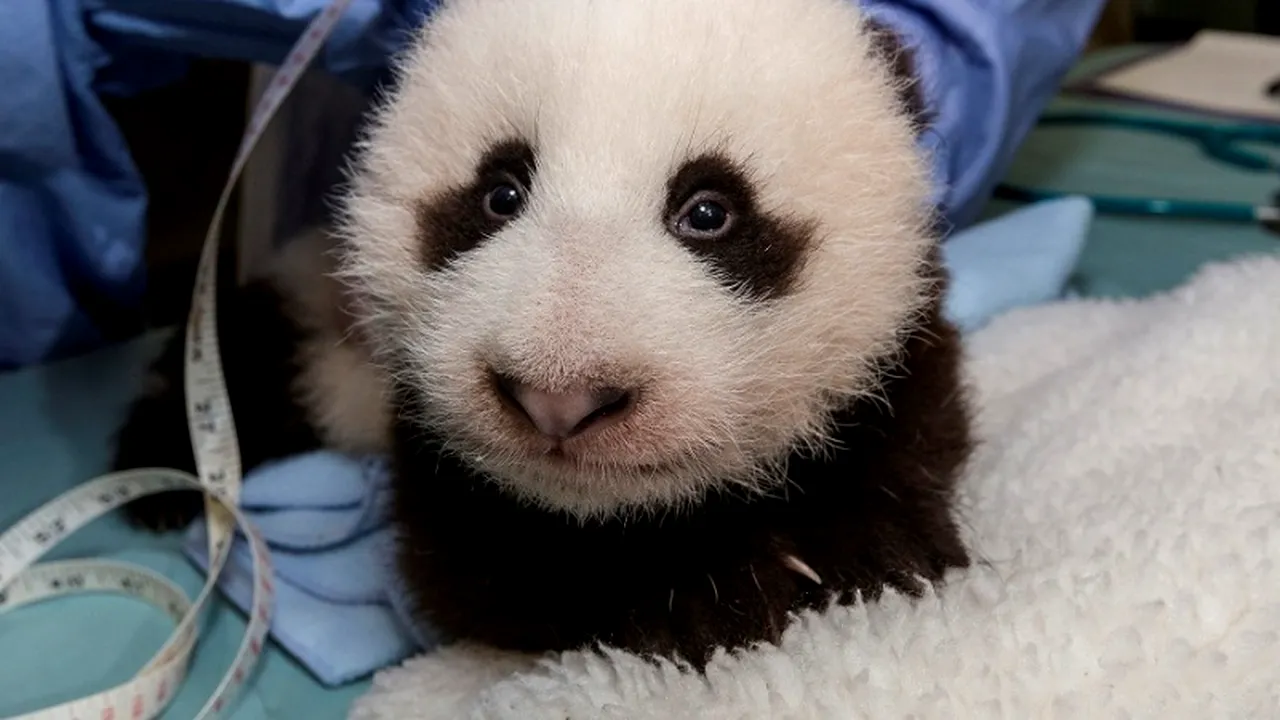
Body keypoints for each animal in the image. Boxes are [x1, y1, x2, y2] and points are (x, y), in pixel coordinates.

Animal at [114, 0, 974, 671]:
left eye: (709, 211)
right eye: (500, 192)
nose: (560, 399)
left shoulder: (897, 340)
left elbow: (909, 427)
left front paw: (871, 550)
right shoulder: (432, 454)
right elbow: (490, 572)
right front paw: (712, 591)